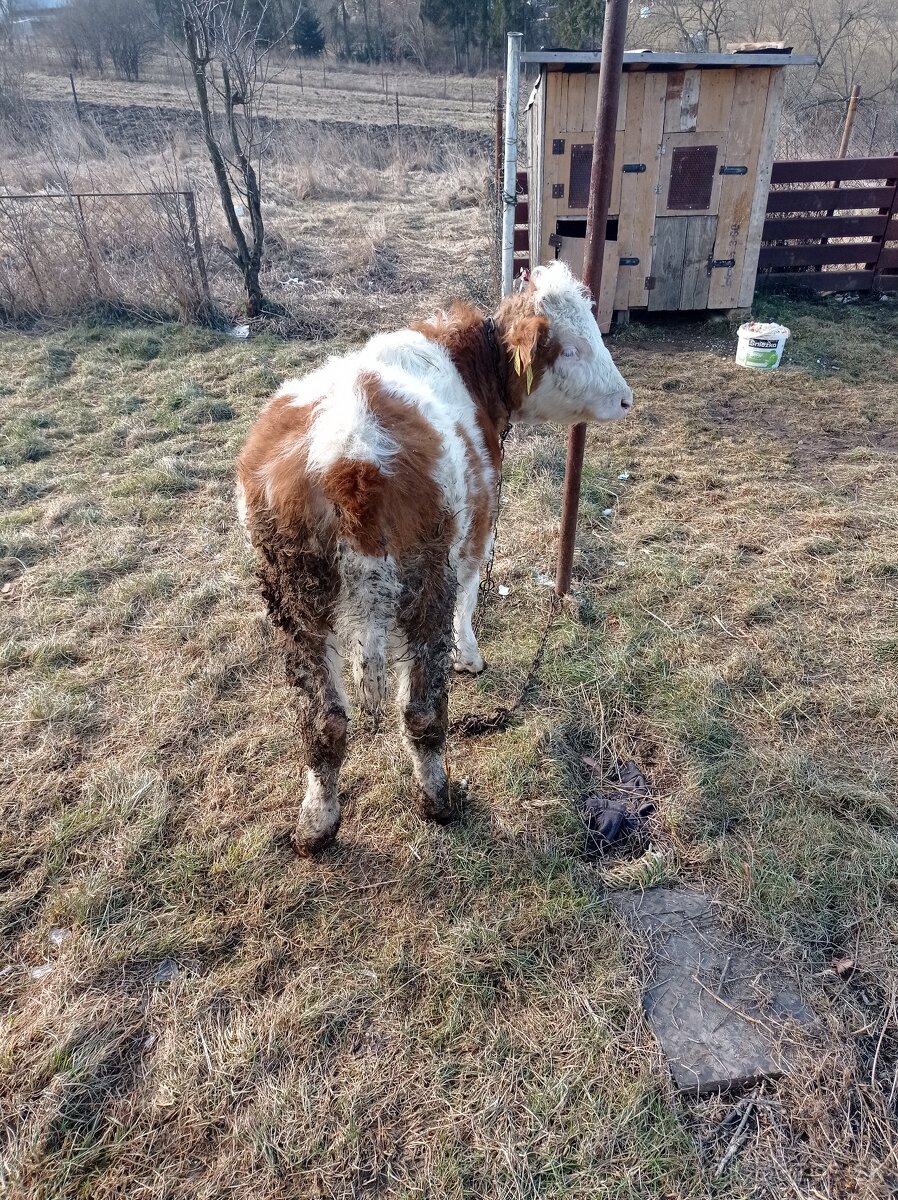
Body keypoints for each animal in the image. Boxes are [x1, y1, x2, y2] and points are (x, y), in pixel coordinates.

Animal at [236, 260, 629, 854]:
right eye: (572, 348)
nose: (626, 399)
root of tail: (349, 455)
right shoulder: (476, 530)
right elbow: (471, 596)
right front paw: (470, 656)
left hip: (293, 595)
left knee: (323, 721)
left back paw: (316, 824)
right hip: (423, 580)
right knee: (420, 708)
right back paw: (438, 798)